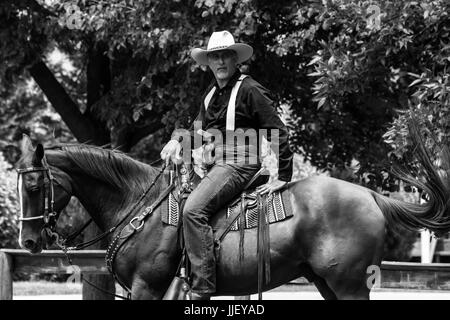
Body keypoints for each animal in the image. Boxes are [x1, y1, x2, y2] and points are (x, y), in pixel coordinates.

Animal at [15, 123, 448, 300]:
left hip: (350, 285)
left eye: (34, 186)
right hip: (328, 283)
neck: (138, 206)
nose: (28, 240)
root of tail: (371, 196)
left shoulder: (147, 287)